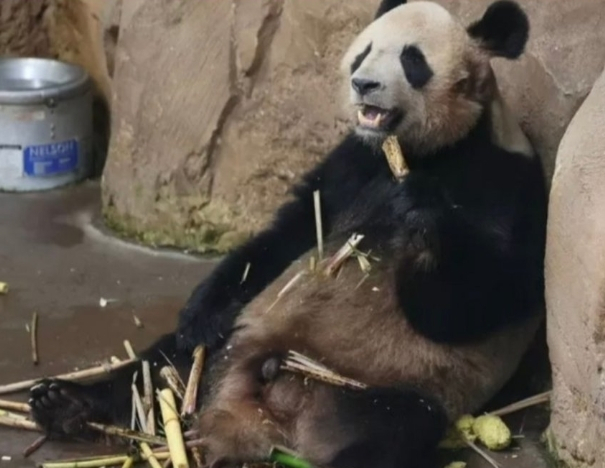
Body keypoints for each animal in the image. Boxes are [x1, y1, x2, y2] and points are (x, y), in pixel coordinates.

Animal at [28, 0, 548, 466]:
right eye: (364, 52)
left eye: (412, 60)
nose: (363, 83)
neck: (422, 150)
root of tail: (268, 414)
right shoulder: (350, 164)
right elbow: (288, 235)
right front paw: (203, 308)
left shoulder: (504, 183)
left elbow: (473, 304)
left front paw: (420, 210)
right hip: (234, 346)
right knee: (161, 366)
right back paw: (67, 403)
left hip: (377, 388)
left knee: (395, 430)